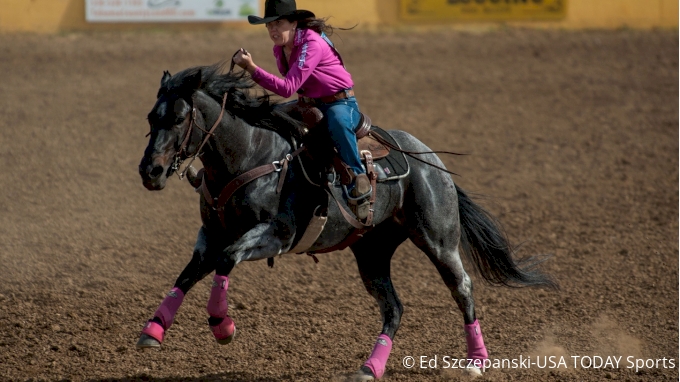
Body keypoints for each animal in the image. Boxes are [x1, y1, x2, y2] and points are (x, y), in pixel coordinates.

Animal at [135, 64, 556, 380]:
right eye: (151, 117)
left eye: (179, 117)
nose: (149, 171)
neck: (254, 154)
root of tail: (428, 158)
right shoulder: (211, 234)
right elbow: (187, 274)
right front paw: (152, 330)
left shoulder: (277, 235)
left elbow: (226, 260)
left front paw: (223, 327)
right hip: (372, 252)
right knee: (393, 307)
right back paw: (370, 368)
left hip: (438, 239)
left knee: (462, 287)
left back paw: (476, 361)